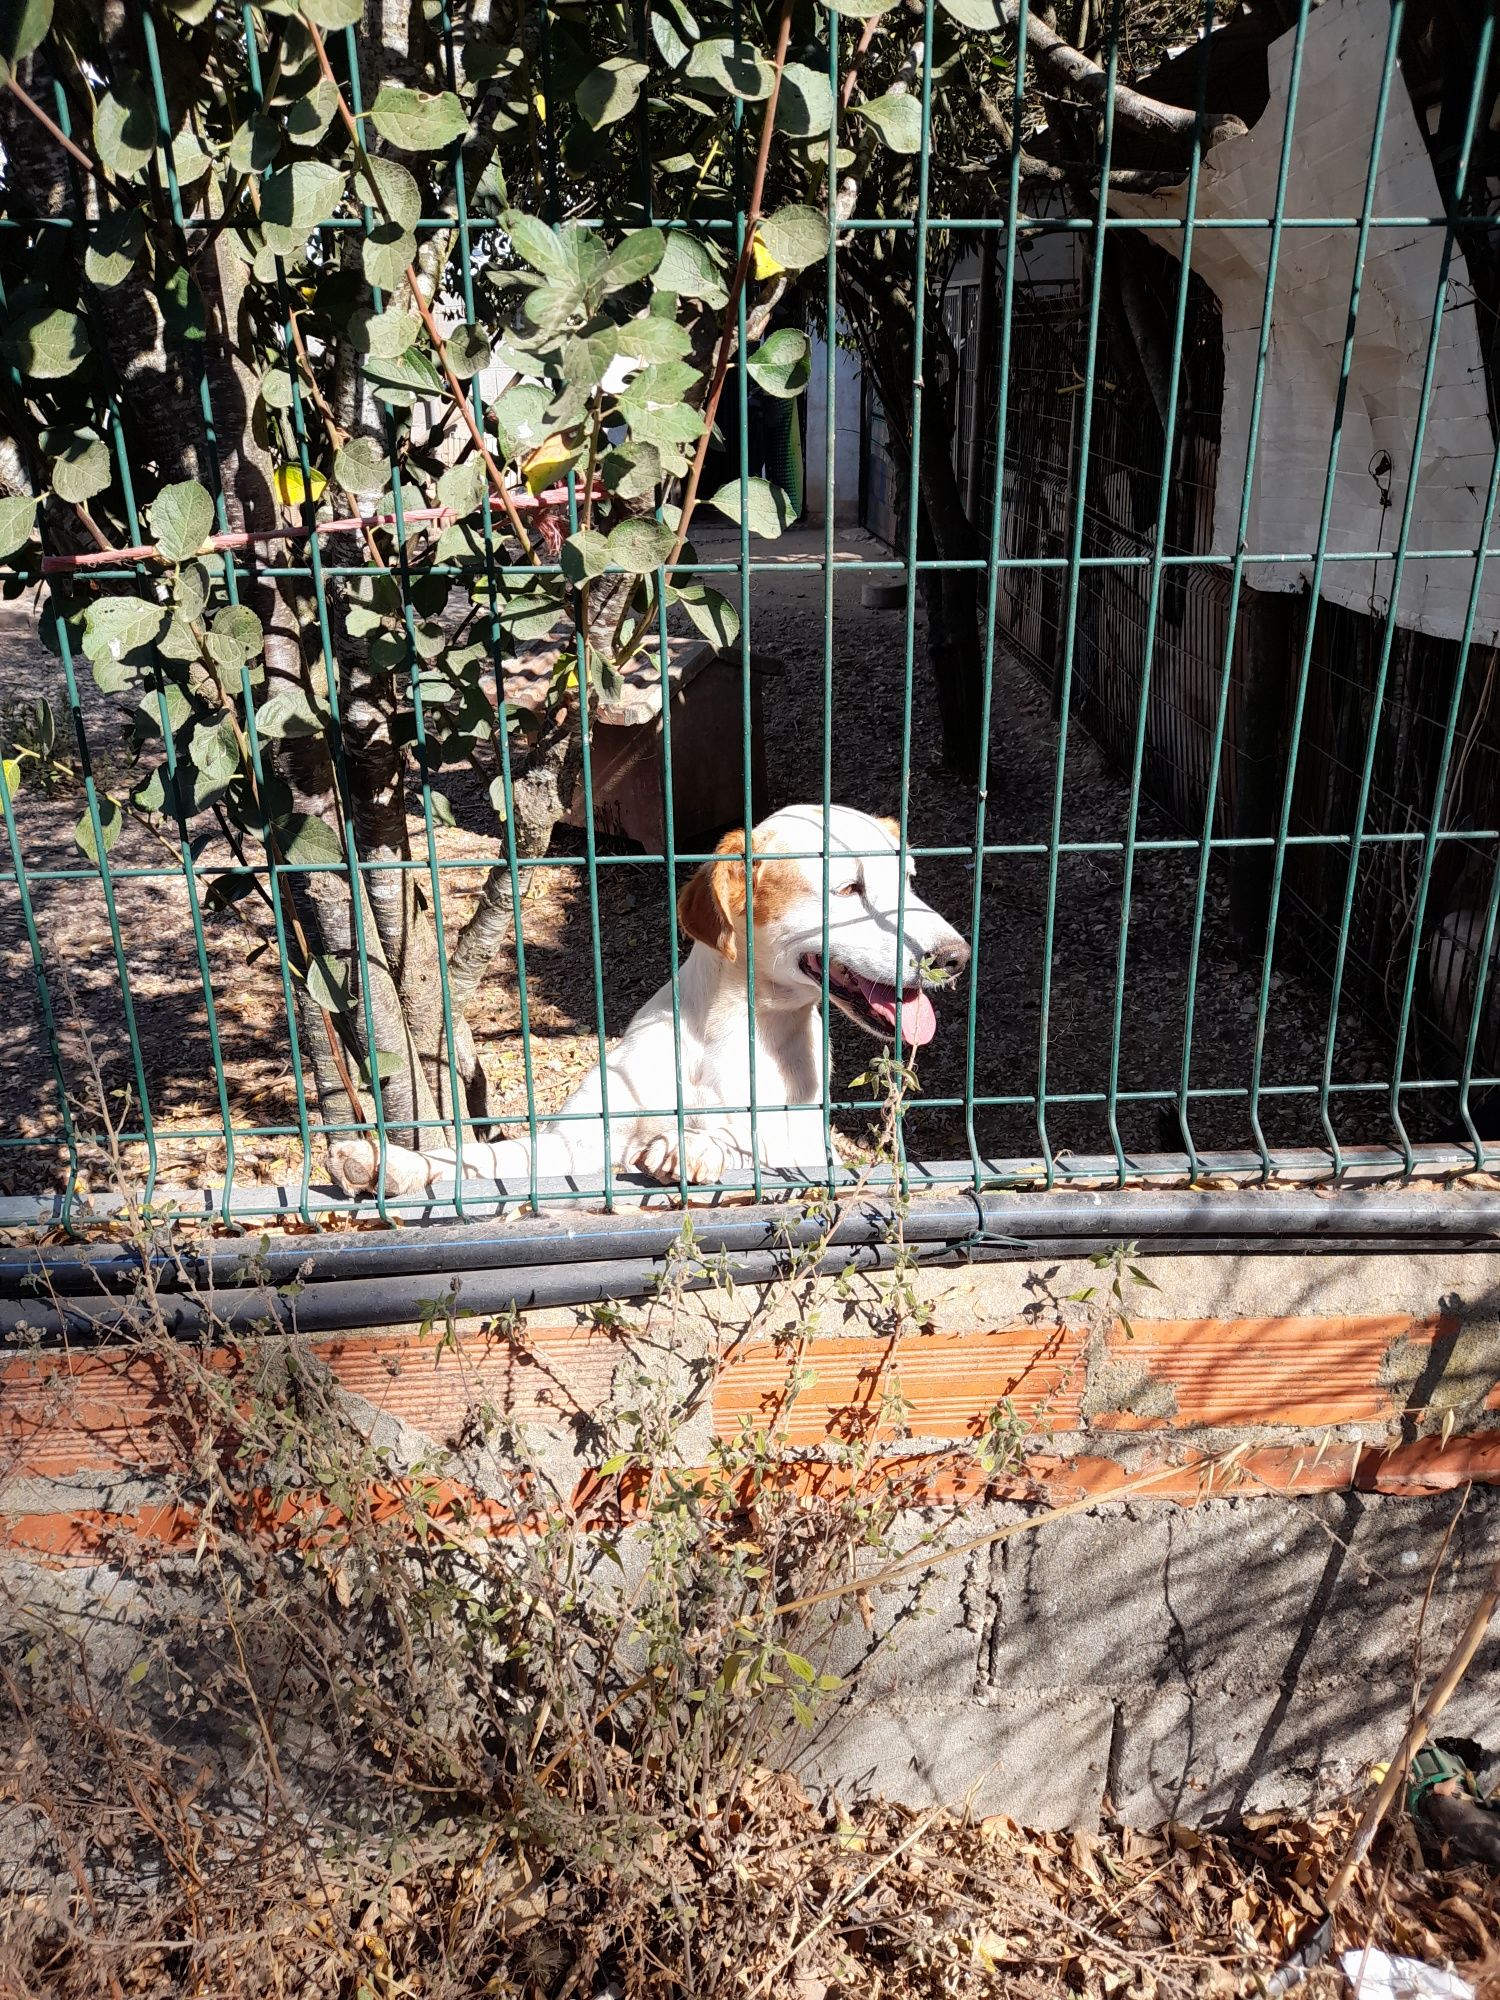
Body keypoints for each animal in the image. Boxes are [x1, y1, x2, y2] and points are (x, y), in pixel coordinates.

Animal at [326, 800, 976, 1200]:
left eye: (910, 881)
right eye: (848, 888)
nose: (956, 956)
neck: (725, 1038)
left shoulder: (792, 1150)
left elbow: (736, 1147)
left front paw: (694, 1148)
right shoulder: (576, 1142)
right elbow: (482, 1159)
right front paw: (394, 1164)